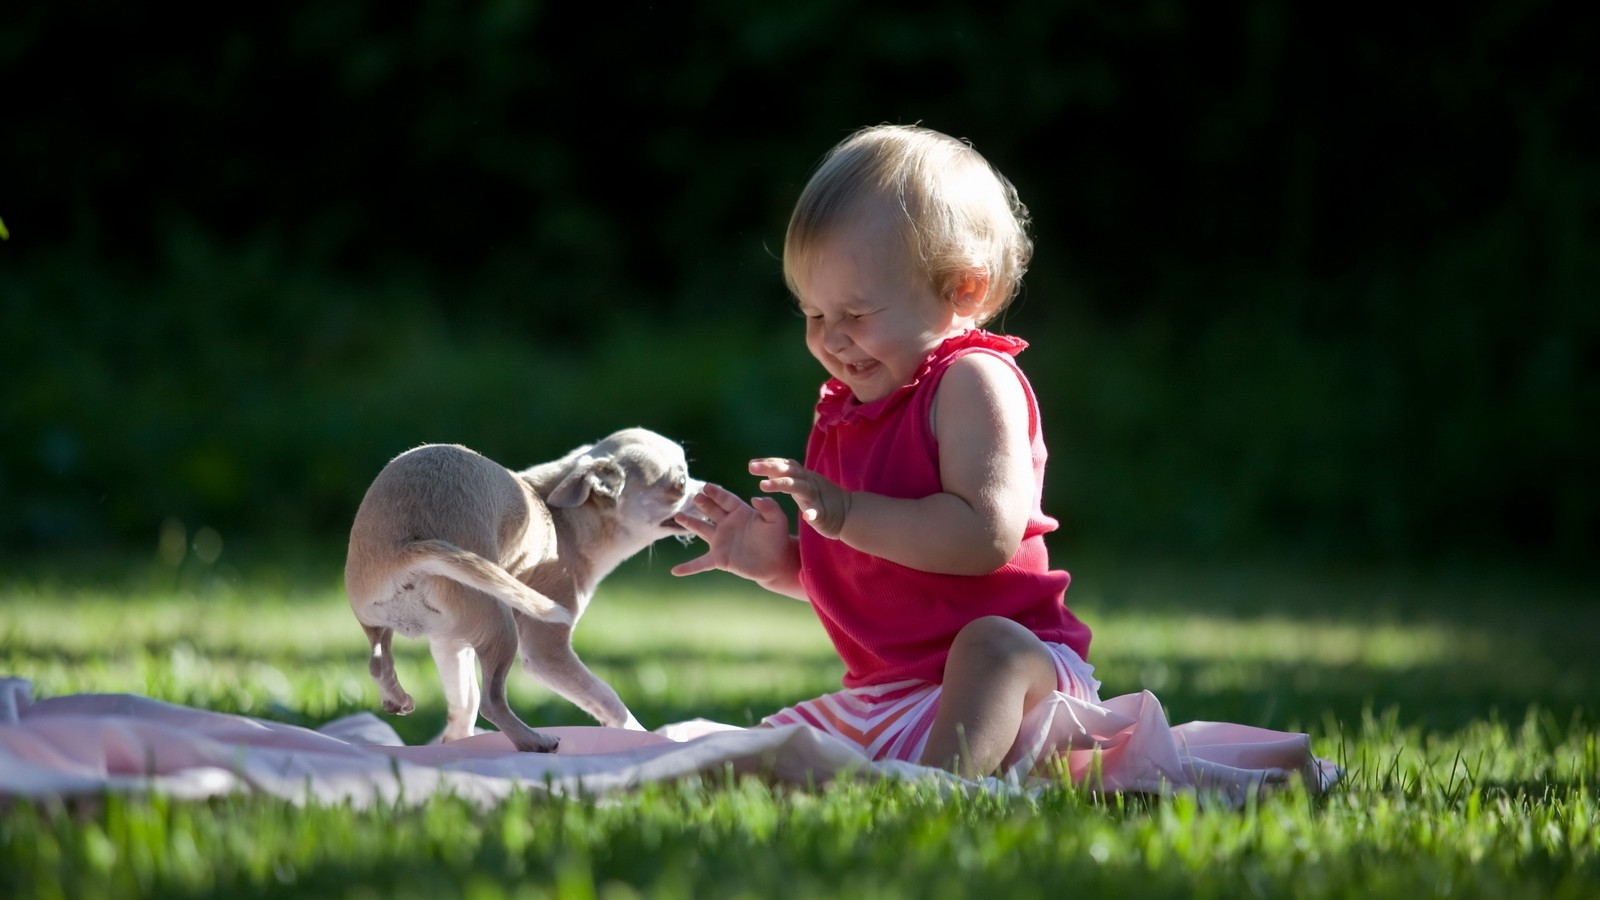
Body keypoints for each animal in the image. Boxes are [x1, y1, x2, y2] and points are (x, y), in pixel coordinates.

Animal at [344, 425, 700, 749]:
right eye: (681, 484)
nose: (708, 489)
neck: (563, 520)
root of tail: (406, 549)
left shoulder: (449, 642)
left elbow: (463, 700)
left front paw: (456, 741)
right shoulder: (547, 652)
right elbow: (606, 695)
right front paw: (638, 732)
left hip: (379, 619)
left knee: (379, 662)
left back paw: (397, 697)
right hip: (501, 627)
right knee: (491, 701)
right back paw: (534, 740)